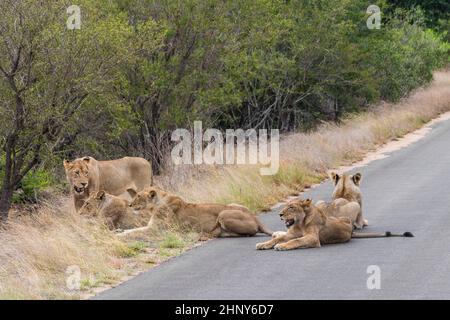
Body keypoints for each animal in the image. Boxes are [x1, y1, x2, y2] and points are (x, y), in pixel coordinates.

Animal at [127, 186, 274, 239]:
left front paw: (123, 235)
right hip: (234, 204)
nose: (130, 205)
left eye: (138, 196)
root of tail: (256, 219)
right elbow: (132, 230)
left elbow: (134, 231)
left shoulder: (157, 229)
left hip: (223, 214)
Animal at [255, 199, 414, 251]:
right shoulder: (291, 233)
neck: (300, 224)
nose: (280, 214)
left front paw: (282, 246)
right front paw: (263, 244)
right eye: (285, 206)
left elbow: (297, 241)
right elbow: (278, 238)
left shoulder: (314, 239)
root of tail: (351, 232)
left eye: (291, 207)